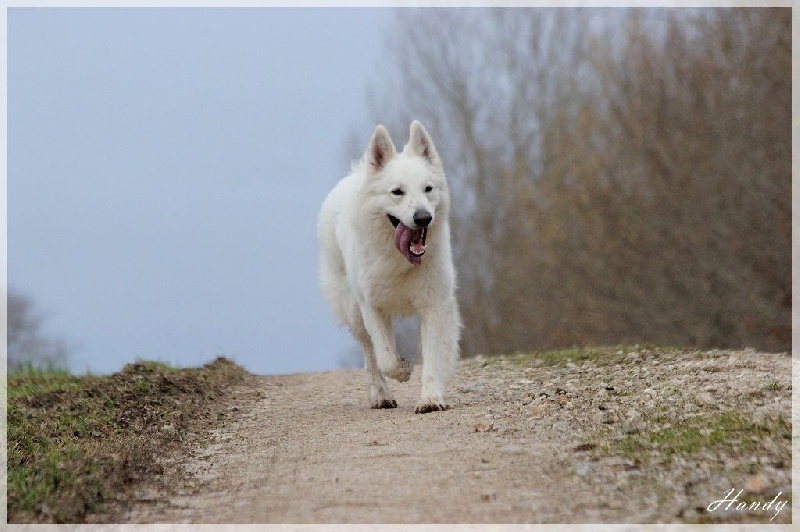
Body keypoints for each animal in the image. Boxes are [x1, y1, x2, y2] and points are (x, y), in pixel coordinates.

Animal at [317, 121, 461, 413]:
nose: (423, 217)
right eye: (397, 192)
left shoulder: (434, 304)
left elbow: (433, 356)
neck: (400, 260)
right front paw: (404, 369)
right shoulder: (372, 307)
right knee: (370, 357)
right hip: (353, 311)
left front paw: (431, 398)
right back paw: (381, 395)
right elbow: (386, 359)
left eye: (428, 189)